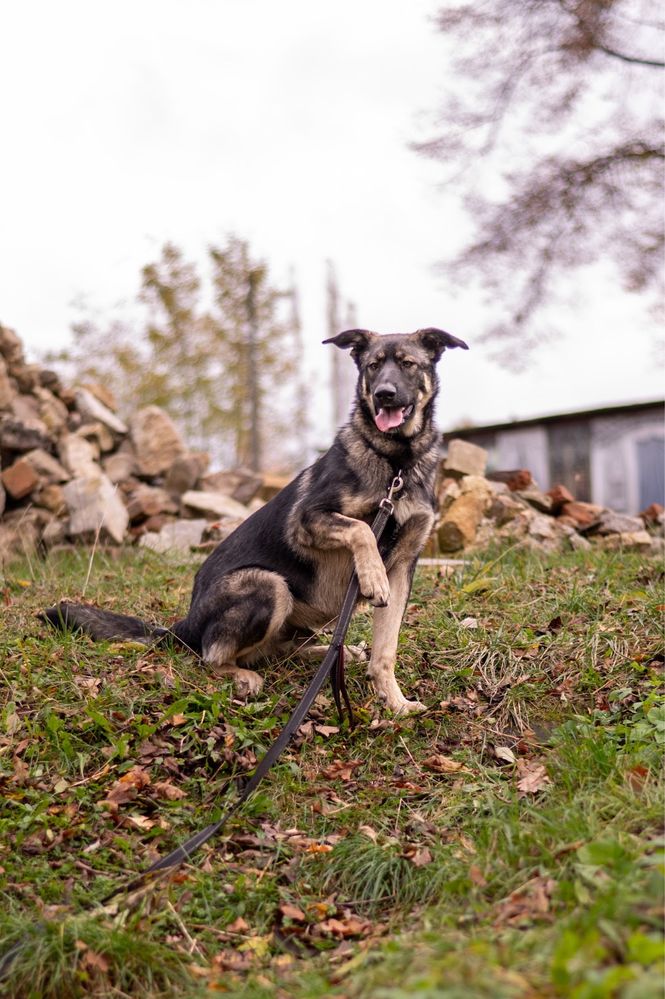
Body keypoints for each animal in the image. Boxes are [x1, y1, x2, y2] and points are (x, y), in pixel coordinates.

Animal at [42, 332, 466, 716]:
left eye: (407, 364)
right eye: (373, 366)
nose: (384, 394)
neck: (396, 464)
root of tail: (184, 625)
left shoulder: (404, 567)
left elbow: (386, 649)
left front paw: (394, 702)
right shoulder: (306, 520)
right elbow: (360, 529)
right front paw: (372, 576)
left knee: (280, 650)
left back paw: (331, 652)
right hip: (269, 586)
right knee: (212, 657)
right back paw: (243, 675)